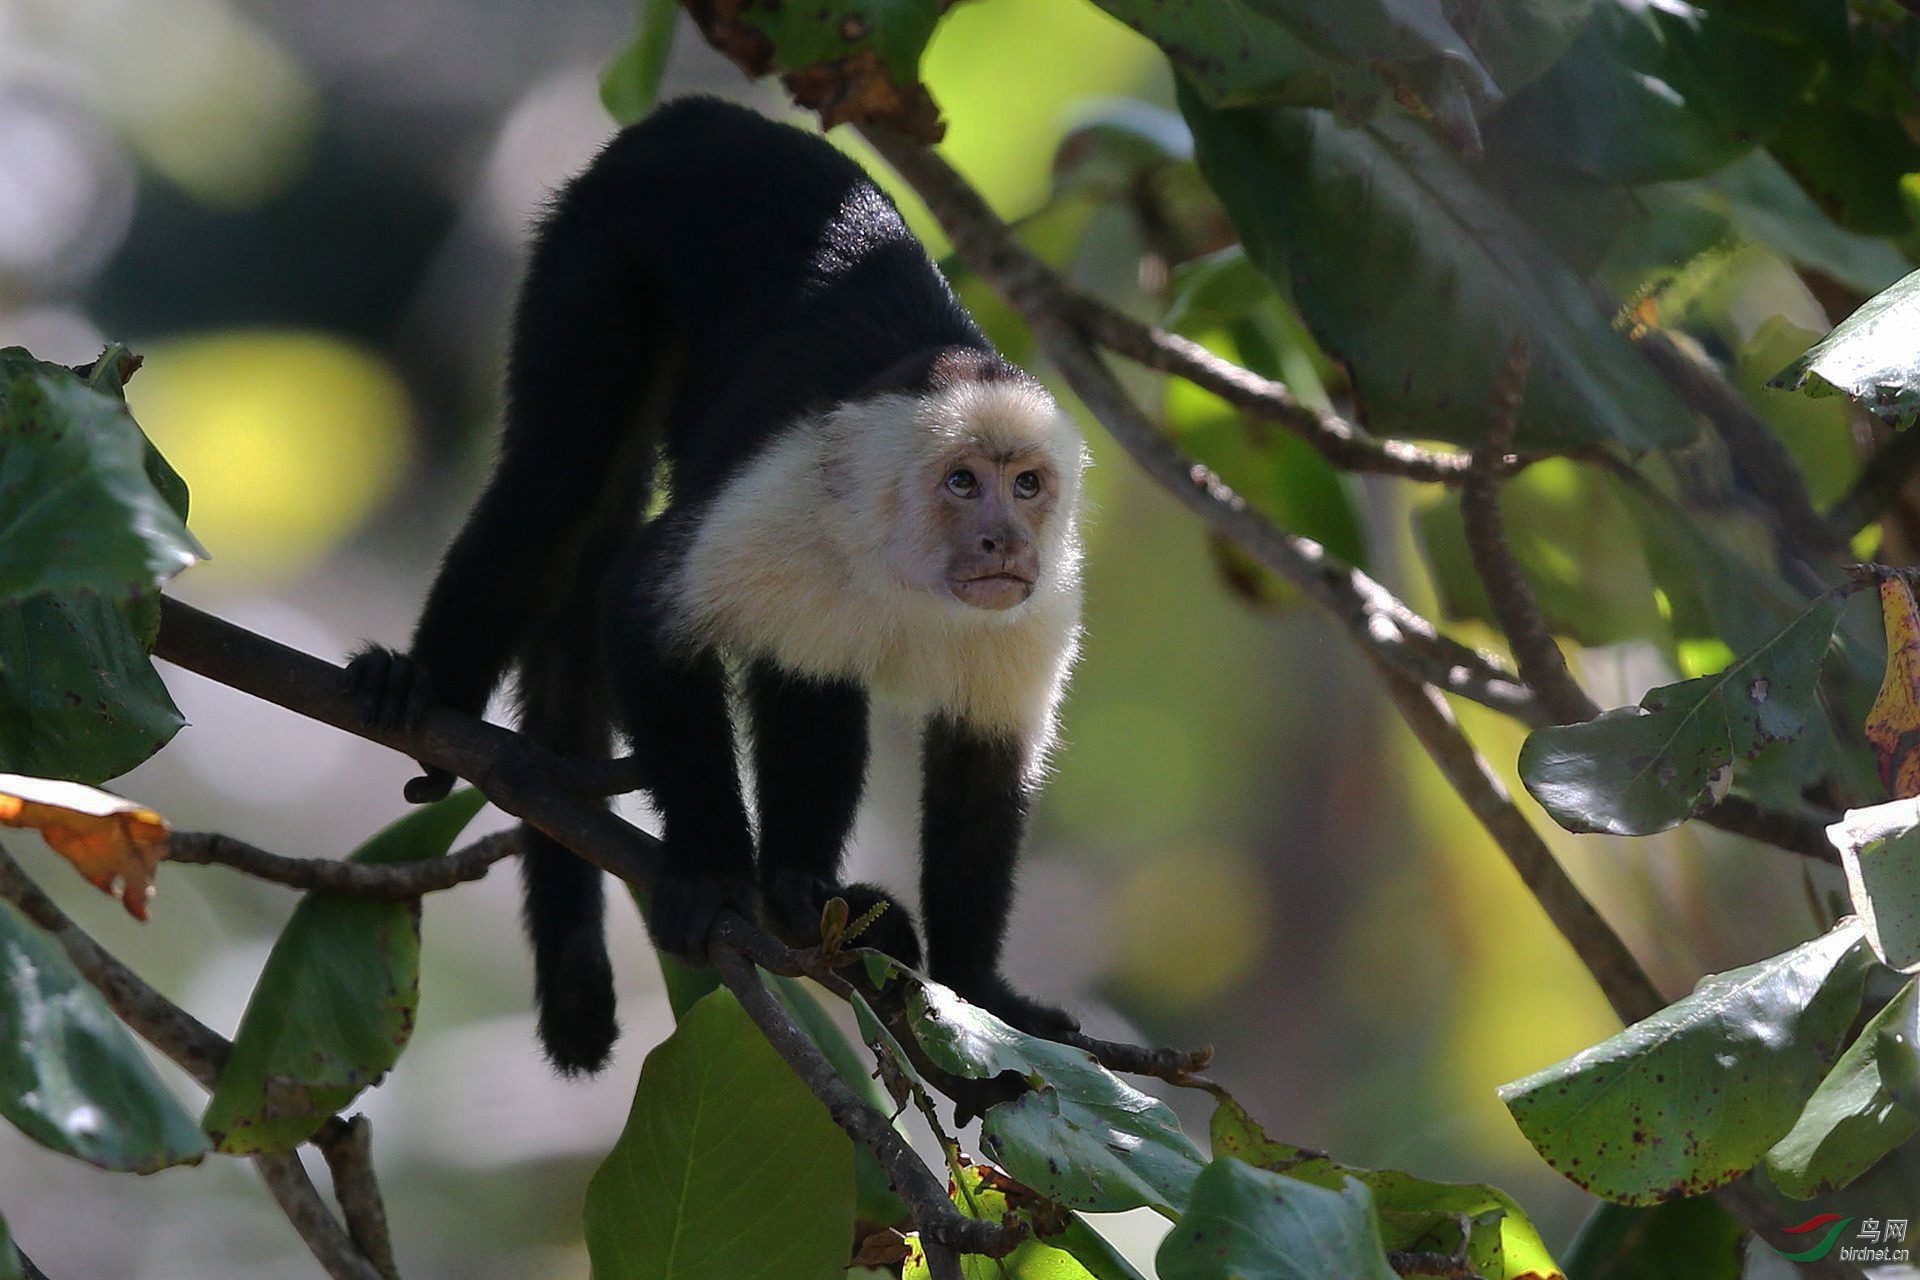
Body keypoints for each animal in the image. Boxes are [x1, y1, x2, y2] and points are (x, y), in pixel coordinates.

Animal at [347, 100, 1090, 1074]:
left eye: (1028, 485)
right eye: (964, 483)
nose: (1006, 539)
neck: (906, 571)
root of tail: (697, 113)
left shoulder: (1040, 603)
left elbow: (984, 762)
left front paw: (981, 996)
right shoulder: (779, 499)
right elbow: (639, 609)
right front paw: (710, 877)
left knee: (810, 667)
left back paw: (802, 895)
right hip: (599, 242)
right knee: (558, 485)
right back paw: (426, 683)